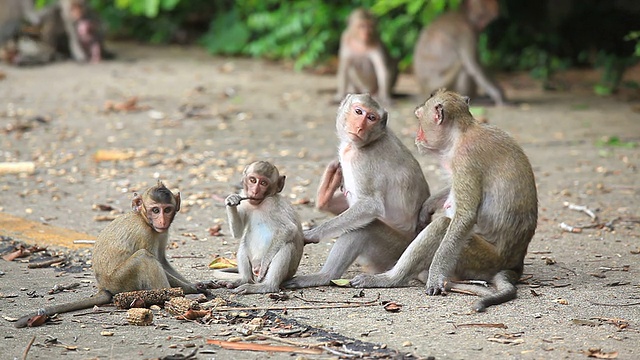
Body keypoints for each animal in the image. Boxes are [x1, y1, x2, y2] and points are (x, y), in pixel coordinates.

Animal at [13, 181, 199, 328]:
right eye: (155, 210)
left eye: (166, 210)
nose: (162, 220)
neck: (144, 219)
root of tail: (103, 286)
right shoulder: (146, 233)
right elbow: (154, 258)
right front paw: (190, 289)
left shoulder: (161, 233)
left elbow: (162, 260)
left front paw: (196, 284)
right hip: (120, 280)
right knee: (144, 257)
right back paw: (169, 297)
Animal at [208, 162, 304, 294]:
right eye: (253, 180)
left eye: (263, 183)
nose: (254, 191)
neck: (260, 203)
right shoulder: (244, 197)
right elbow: (238, 232)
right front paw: (232, 200)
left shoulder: (272, 204)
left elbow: (288, 229)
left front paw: (264, 266)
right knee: (243, 243)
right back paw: (244, 280)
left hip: (288, 271)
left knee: (286, 246)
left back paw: (267, 286)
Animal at [284, 93, 430, 290]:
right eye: (359, 112)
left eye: (371, 118)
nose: (360, 127)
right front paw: (327, 190)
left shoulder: (364, 162)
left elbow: (370, 206)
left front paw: (312, 234)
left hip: (393, 251)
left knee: (364, 229)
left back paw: (324, 276)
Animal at [350, 88, 540, 310]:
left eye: (419, 117)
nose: (417, 136)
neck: (462, 133)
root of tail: (515, 265)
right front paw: (428, 206)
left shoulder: (465, 158)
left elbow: (465, 216)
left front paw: (435, 276)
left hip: (480, 259)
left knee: (442, 226)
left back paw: (390, 279)